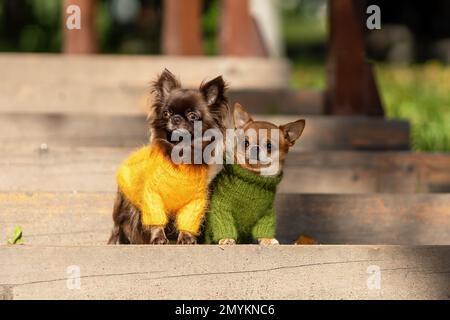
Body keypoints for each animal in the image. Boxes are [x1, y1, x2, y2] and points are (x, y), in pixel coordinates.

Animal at [108, 69, 229, 245]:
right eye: (166, 113)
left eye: (192, 115)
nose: (176, 118)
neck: (181, 152)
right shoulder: (152, 197)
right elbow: (156, 221)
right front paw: (158, 238)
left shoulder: (195, 203)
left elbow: (188, 222)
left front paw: (186, 238)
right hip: (124, 206)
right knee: (119, 227)